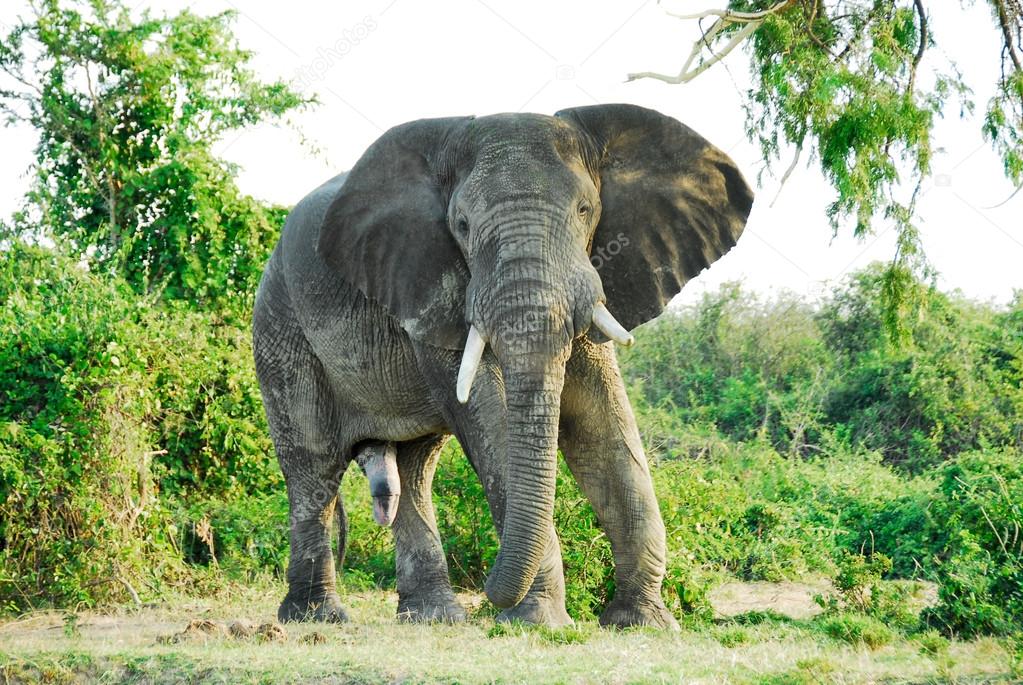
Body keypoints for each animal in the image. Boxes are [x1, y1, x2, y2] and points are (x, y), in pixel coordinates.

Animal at [251, 103, 757, 633]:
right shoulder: (435, 288)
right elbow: (490, 416)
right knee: (314, 466)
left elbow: (602, 424)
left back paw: (434, 618)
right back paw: (317, 617)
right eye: (462, 224)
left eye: (585, 210)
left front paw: (642, 623)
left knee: (414, 468)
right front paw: (538, 622)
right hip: (280, 325)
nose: (490, 593)